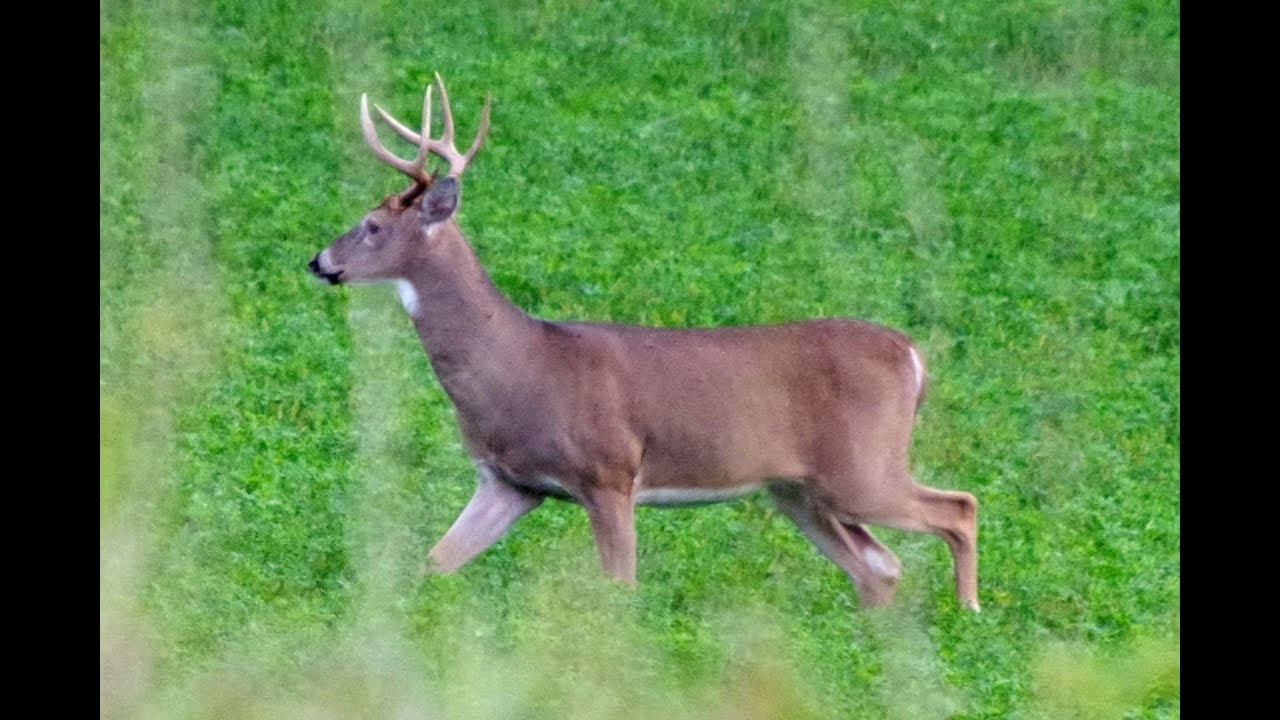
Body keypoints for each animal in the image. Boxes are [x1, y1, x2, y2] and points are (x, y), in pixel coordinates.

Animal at [308, 74, 980, 611]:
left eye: (372, 226)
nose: (319, 261)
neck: (521, 364)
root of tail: (913, 355)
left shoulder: (609, 472)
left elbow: (620, 590)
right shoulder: (509, 482)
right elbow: (435, 563)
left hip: (863, 465)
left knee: (959, 508)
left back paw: (967, 615)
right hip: (798, 489)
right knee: (880, 565)